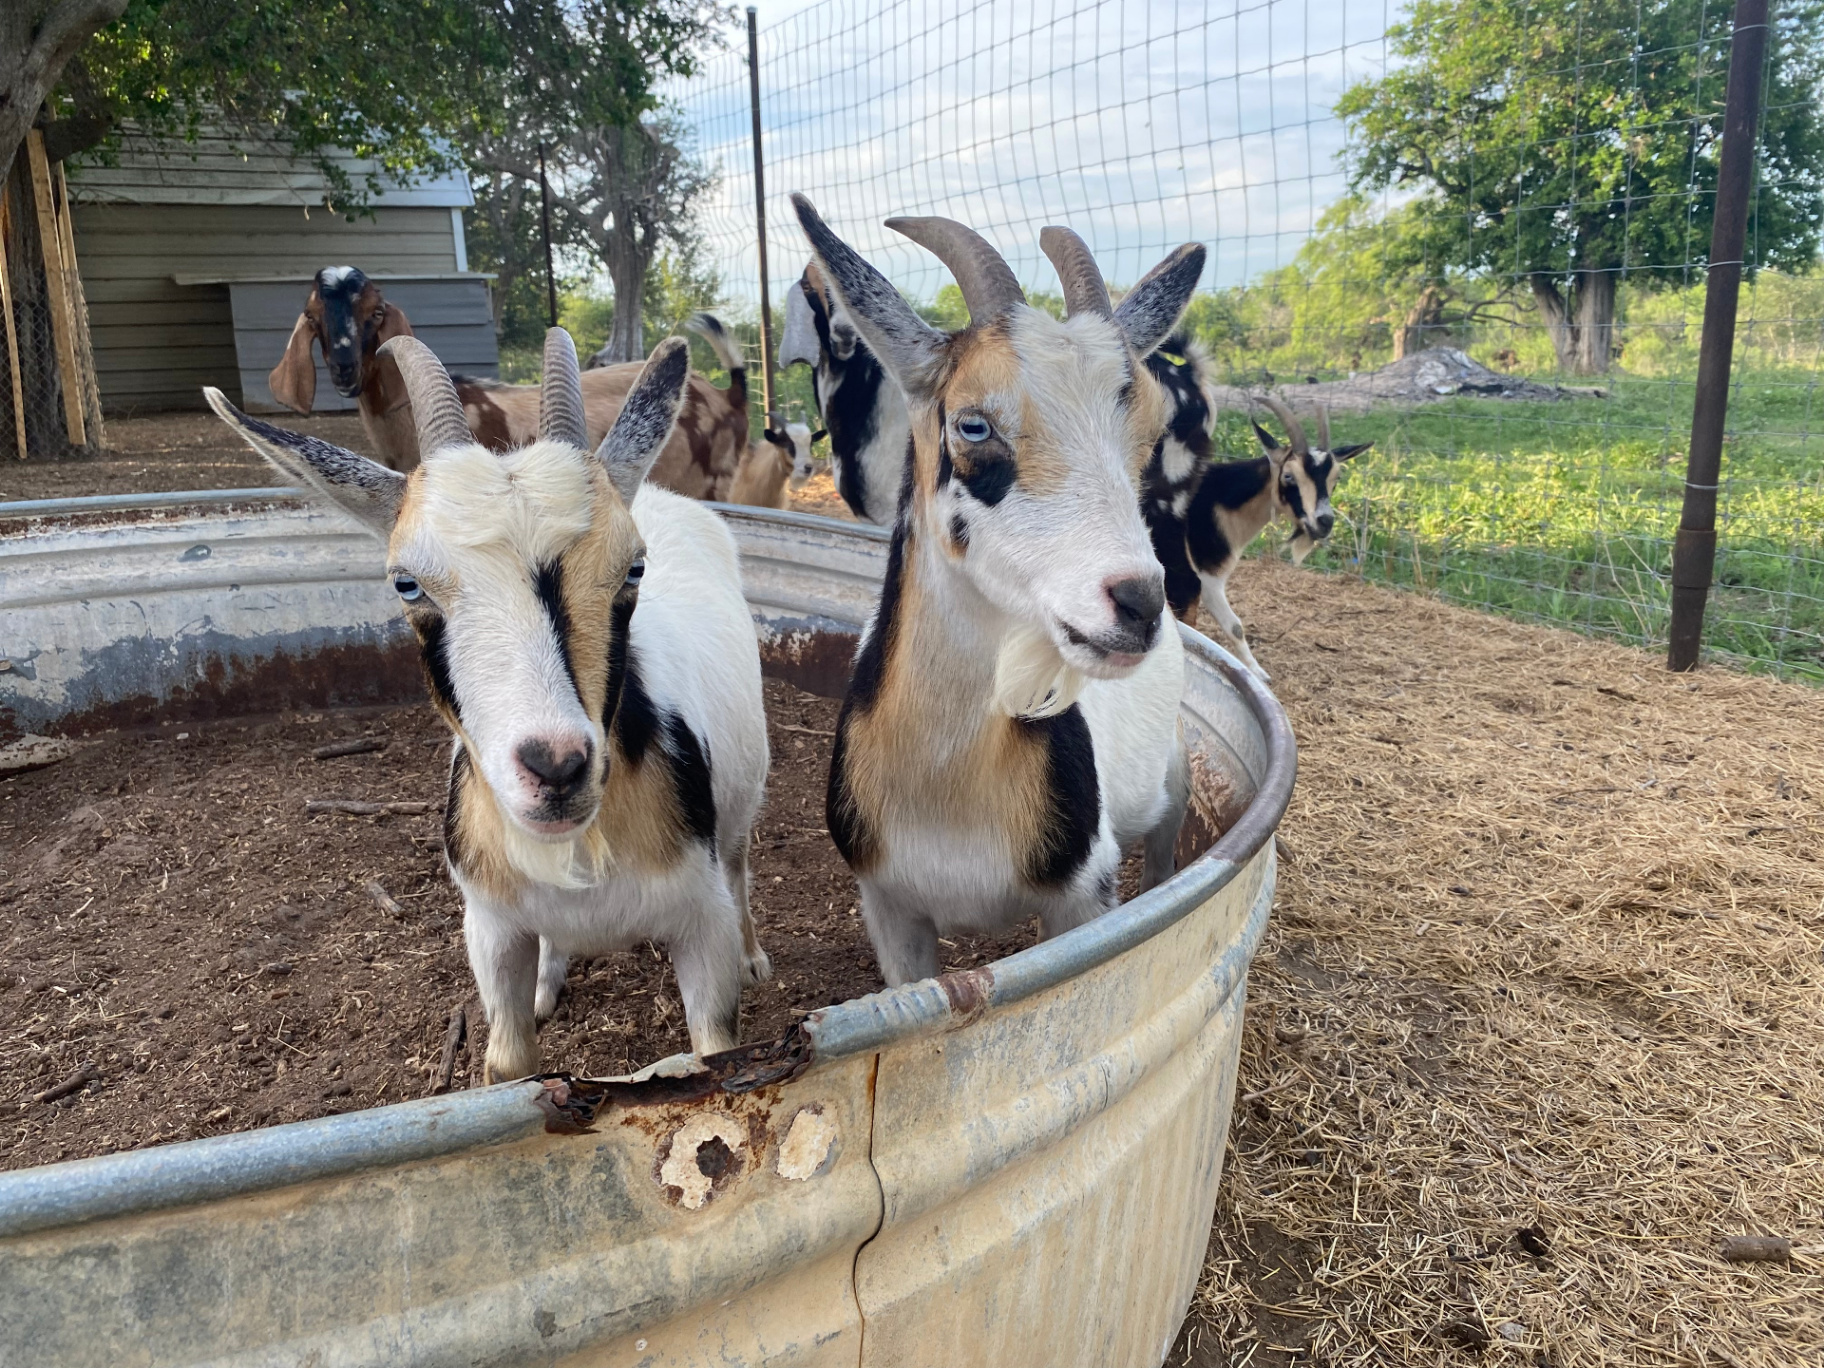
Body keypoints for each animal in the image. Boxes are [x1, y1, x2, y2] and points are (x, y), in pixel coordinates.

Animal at [211, 328, 772, 1079]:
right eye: (406, 583)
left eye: (633, 568)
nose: (556, 768)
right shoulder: (491, 927)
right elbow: (508, 1064)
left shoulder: (700, 920)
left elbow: (717, 1045)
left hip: (743, 802)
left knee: (740, 861)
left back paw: (755, 957)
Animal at [791, 194, 1203, 987]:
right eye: (973, 424)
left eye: (1150, 432)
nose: (1139, 603)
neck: (947, 788)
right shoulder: (889, 909)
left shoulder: (1083, 898)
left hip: (1169, 776)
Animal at [1144, 395, 1370, 679]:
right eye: (1288, 476)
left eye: (1335, 478)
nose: (1324, 522)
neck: (1217, 501)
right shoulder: (1205, 578)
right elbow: (1233, 626)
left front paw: (1256, 672)